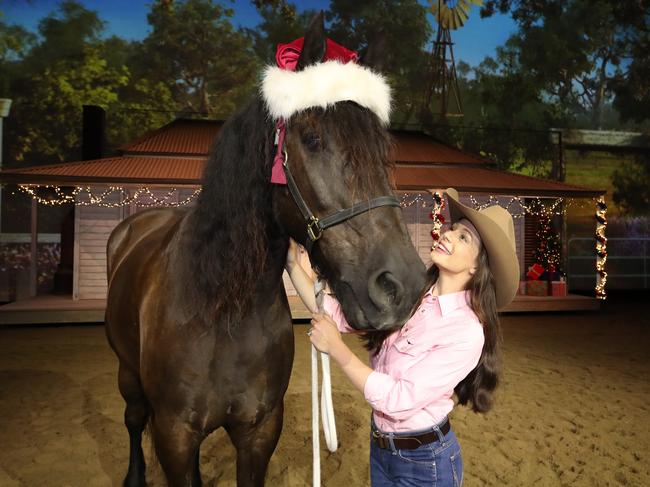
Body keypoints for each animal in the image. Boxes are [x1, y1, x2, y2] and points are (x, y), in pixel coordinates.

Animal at [104, 15, 428, 487]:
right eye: (311, 138)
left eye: (383, 151)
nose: (401, 287)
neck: (222, 310)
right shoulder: (174, 434)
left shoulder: (259, 431)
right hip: (127, 373)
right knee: (132, 419)